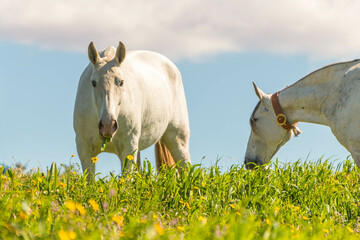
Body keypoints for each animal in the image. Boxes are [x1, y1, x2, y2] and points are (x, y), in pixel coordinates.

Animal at [73, 41, 191, 178]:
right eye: (93, 83)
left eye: (121, 82)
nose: (108, 125)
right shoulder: (84, 148)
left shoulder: (128, 147)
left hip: (178, 139)